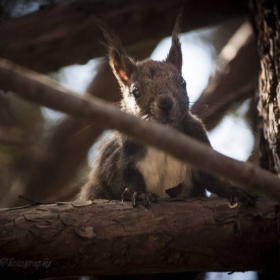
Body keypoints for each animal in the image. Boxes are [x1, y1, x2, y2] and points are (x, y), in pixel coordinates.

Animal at [78, 15, 256, 208]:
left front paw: (232, 190)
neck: (165, 135)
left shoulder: (198, 138)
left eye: (182, 81)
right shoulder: (118, 156)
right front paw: (139, 194)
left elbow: (210, 178)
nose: (166, 103)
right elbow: (120, 179)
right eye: (135, 91)